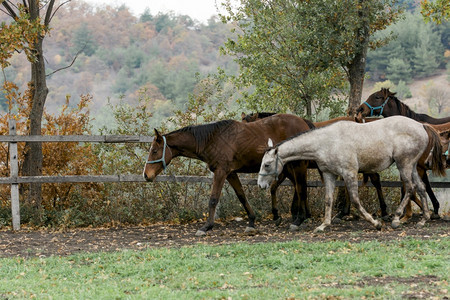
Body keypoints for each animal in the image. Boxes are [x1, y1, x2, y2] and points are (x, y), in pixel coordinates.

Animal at [143, 113, 312, 236]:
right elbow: (242, 196)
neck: (212, 139)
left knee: (301, 188)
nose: (146, 175)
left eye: (155, 151)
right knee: (298, 187)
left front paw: (206, 226)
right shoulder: (231, 174)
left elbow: (213, 199)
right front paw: (251, 222)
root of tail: (303, 122)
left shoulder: (221, 172)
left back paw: (299, 220)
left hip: (298, 165)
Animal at [243, 112, 390, 223]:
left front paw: (297, 214)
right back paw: (344, 213)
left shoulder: (294, 169)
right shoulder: (288, 171)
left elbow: (299, 187)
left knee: (375, 180)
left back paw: (383, 211)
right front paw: (294, 213)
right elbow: (285, 187)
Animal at [258, 115, 444, 232]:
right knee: (421, 187)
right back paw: (424, 219)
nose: (260, 185)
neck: (326, 142)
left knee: (410, 188)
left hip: (404, 165)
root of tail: (421, 125)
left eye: (267, 165)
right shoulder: (329, 174)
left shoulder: (349, 173)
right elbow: (328, 200)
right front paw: (323, 225)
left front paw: (375, 223)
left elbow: (354, 199)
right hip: (412, 167)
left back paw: (397, 219)